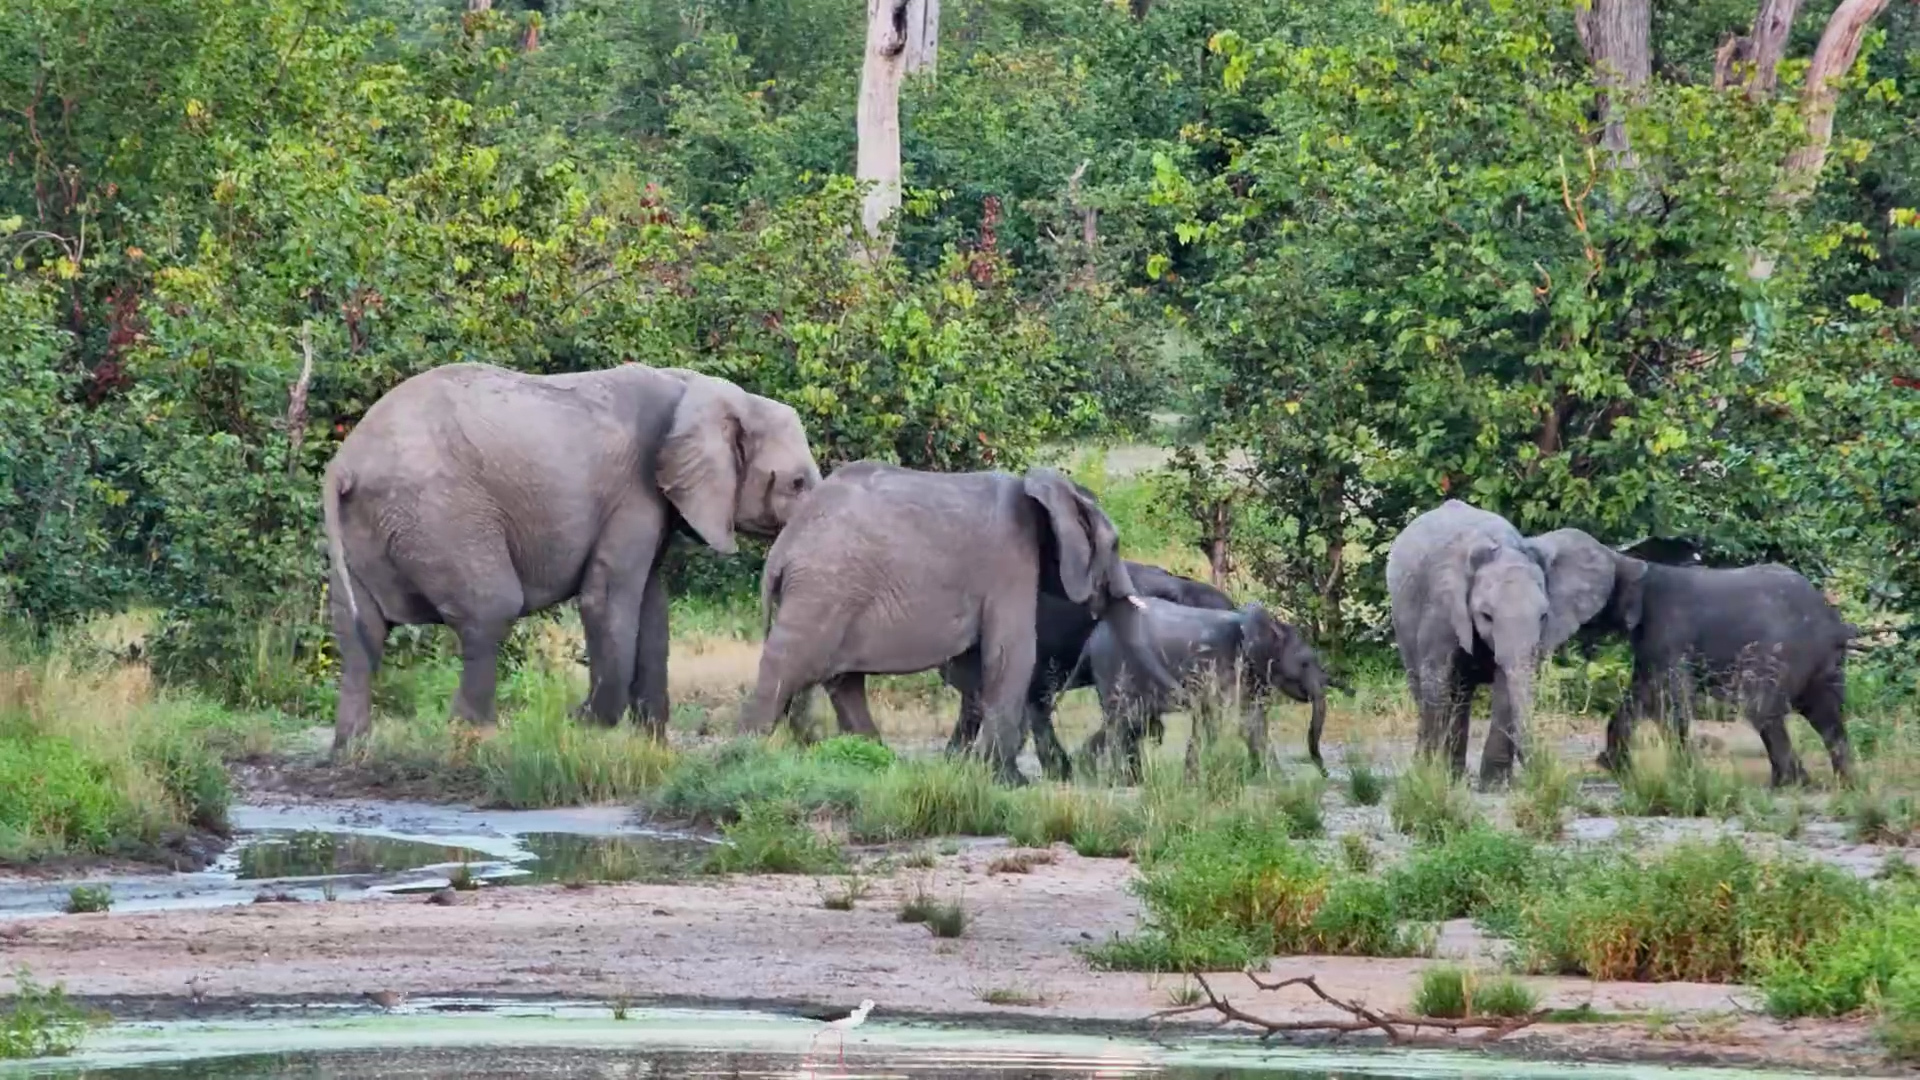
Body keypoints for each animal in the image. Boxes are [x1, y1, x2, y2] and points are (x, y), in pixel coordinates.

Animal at [322, 361, 820, 754]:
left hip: (372, 526)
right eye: (796, 483)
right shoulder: (634, 491)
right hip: (439, 515)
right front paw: (581, 725)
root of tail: (344, 465)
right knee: (490, 609)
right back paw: (476, 740)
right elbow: (608, 598)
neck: (697, 387)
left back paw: (352, 749)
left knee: (359, 631)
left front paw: (652, 750)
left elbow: (651, 606)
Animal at [739, 462, 1179, 782]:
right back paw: (746, 757)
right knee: (788, 667)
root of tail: (781, 551)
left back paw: (883, 764)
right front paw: (1007, 782)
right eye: (1115, 545)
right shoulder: (1009, 559)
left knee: (843, 681)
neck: (1041, 489)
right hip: (823, 588)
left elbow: (978, 668)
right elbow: (1012, 653)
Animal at [1074, 598, 1346, 781]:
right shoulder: (1219, 663)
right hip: (1113, 667)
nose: (1325, 773)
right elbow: (1229, 718)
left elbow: (1253, 720)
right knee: (1122, 722)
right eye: (1305, 663)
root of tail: (1091, 639)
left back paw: (1095, 772)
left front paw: (1272, 779)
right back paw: (1120, 781)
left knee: (1125, 722)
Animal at [1385, 499, 1635, 785]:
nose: (1603, 760)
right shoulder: (1440, 607)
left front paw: (1495, 784)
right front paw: (1430, 776)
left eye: (1543, 616)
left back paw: (1456, 774)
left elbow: (1506, 686)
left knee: (1461, 694)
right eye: (1486, 616)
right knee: (1425, 684)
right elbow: (1437, 677)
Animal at [1598, 559, 1858, 786]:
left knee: (1763, 709)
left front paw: (1687, 775)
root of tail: (1835, 624)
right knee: (1825, 714)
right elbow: (1644, 692)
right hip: (1825, 662)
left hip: (1785, 653)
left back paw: (1789, 783)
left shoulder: (1669, 633)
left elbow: (1668, 698)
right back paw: (1842, 783)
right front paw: (1613, 765)